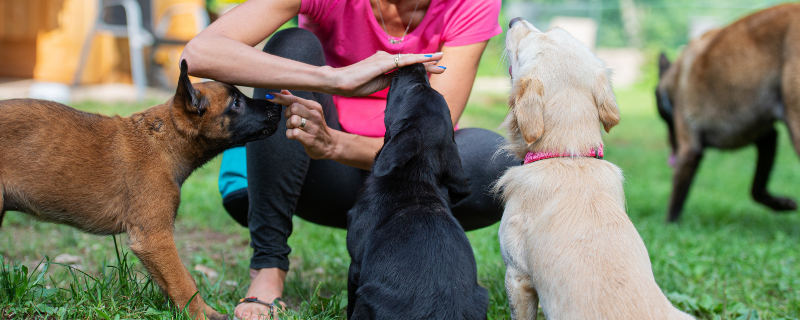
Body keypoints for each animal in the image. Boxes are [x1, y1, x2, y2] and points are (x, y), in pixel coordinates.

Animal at [0, 59, 282, 318]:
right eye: (236, 103)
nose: (278, 105)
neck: (162, 140)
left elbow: (176, 279)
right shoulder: (154, 238)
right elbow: (183, 281)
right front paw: (202, 313)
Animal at [656, 3, 800, 222]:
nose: (671, 150)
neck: (675, 78)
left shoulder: (689, 150)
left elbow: (675, 199)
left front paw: (668, 226)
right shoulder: (767, 137)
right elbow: (756, 189)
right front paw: (780, 204)